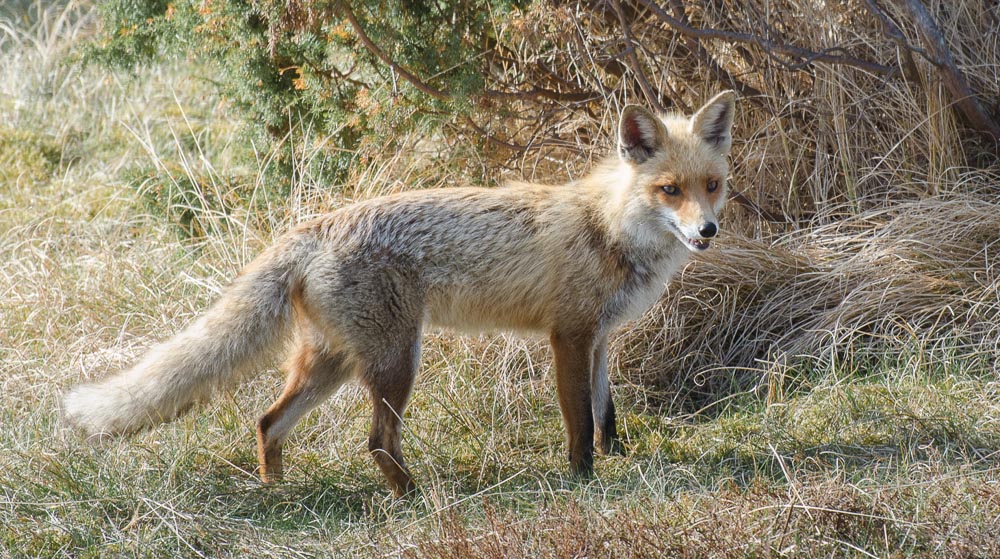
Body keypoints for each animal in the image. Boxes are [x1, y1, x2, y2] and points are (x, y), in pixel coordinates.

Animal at [62, 91, 737, 496]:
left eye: (712, 185)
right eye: (670, 190)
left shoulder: (599, 338)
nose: (707, 232)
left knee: (268, 422)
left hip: (333, 363)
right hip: (396, 361)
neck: (609, 226)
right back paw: (416, 498)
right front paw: (582, 483)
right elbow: (577, 423)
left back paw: (278, 492)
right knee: (376, 442)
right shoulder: (568, 336)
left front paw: (618, 460)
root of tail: (313, 227)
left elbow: (605, 414)